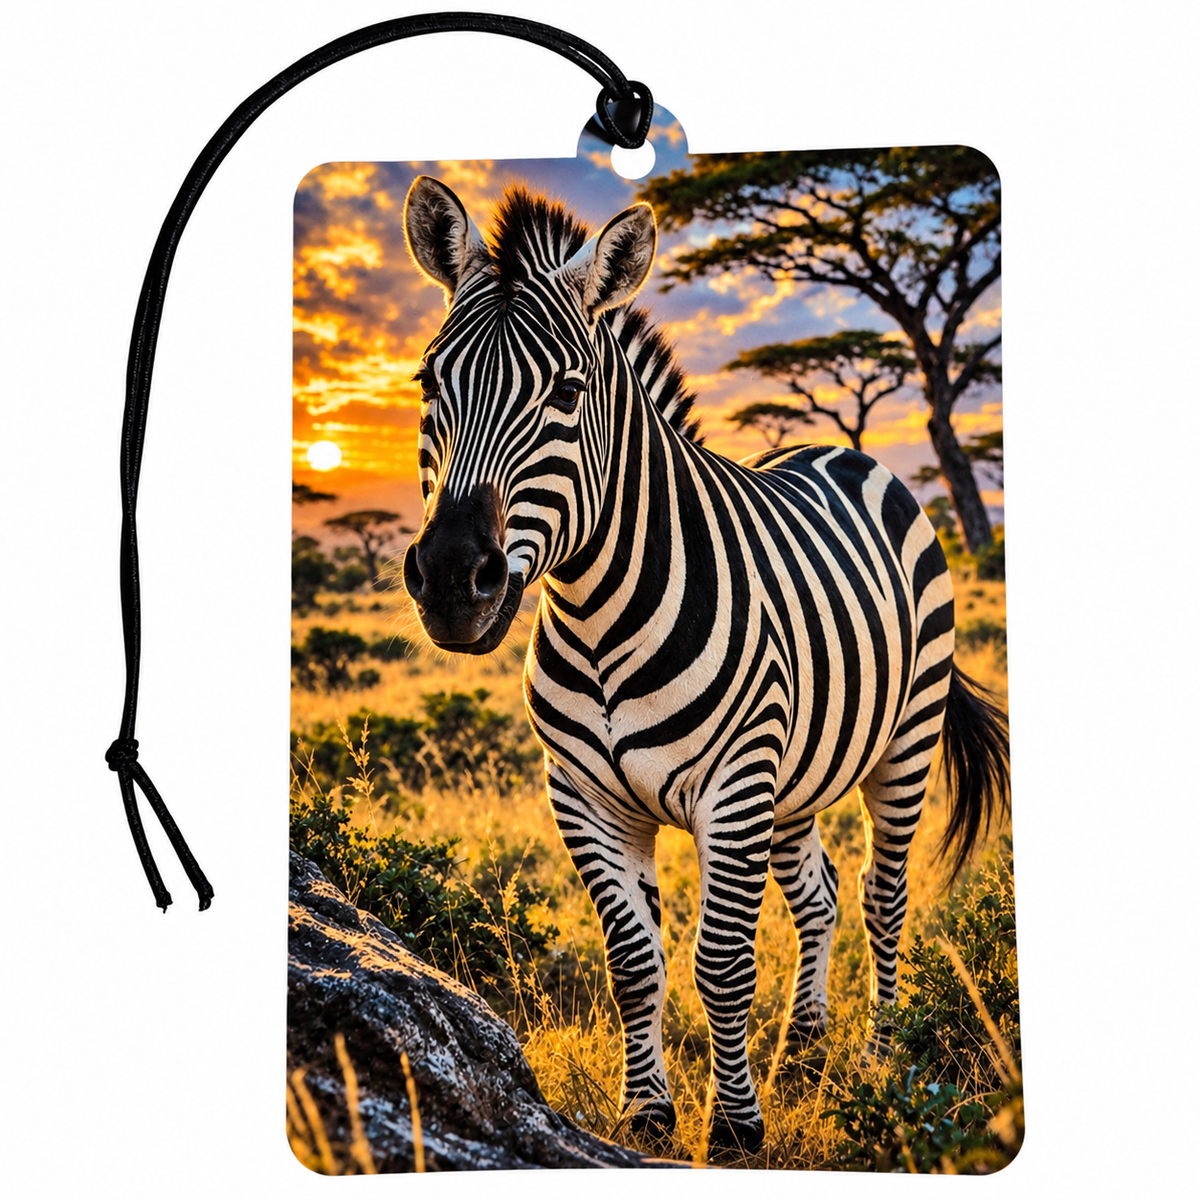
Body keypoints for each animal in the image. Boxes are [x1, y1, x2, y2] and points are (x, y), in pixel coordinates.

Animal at [399, 176, 1010, 1151]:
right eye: (429, 380)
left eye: (568, 390)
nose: (456, 577)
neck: (599, 619)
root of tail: (839, 450)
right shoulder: (586, 797)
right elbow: (633, 962)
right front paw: (647, 1113)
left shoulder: (733, 784)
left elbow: (720, 962)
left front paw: (732, 1129)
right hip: (796, 778)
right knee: (820, 894)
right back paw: (804, 1053)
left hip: (900, 742)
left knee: (881, 895)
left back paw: (881, 1059)